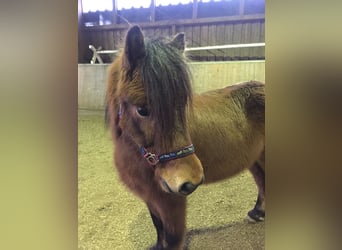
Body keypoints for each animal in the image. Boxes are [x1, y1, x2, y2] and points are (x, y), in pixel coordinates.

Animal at [105, 25, 266, 250]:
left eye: (183, 105)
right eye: (142, 109)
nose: (191, 181)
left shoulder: (171, 201)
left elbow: (172, 237)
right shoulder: (151, 197)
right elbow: (158, 227)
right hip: (255, 160)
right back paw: (257, 213)